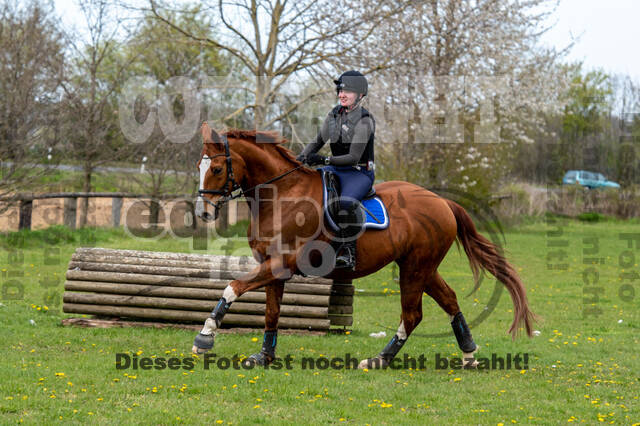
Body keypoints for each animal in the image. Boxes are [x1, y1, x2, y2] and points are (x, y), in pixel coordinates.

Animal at [192, 121, 536, 368]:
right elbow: (271, 313)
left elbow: (233, 287)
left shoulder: (282, 263)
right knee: (449, 301)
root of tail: (443, 202)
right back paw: (468, 355)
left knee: (413, 315)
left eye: (217, 168)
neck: (282, 196)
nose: (203, 213)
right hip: (421, 267)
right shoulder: (274, 267)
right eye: (199, 166)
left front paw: (205, 337)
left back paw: (379, 360)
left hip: (416, 268)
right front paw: (264, 357)